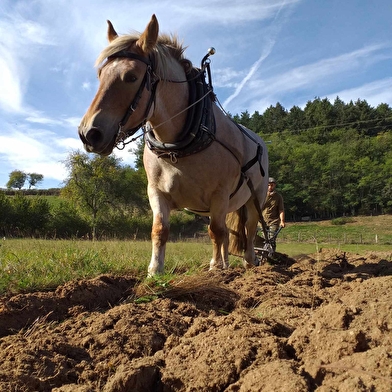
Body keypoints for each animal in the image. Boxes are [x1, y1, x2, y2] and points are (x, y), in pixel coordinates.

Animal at [79, 14, 270, 276]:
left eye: (132, 77)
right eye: (100, 75)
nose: (89, 134)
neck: (177, 148)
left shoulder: (219, 194)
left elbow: (215, 231)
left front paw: (214, 268)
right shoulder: (156, 191)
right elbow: (160, 230)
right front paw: (155, 271)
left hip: (254, 197)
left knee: (249, 229)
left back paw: (249, 262)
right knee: (229, 233)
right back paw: (227, 264)